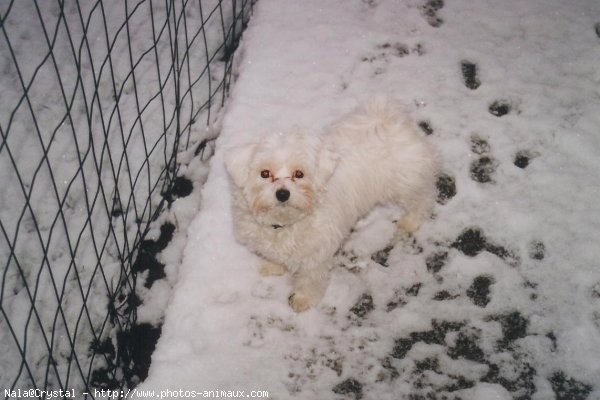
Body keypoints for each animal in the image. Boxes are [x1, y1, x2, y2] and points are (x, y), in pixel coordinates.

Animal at [224, 98, 436, 310]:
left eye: (299, 174)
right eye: (265, 173)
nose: (283, 194)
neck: (285, 224)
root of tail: (388, 116)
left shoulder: (317, 254)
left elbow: (310, 278)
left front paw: (303, 299)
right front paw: (273, 266)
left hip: (407, 181)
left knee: (423, 198)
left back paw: (411, 221)